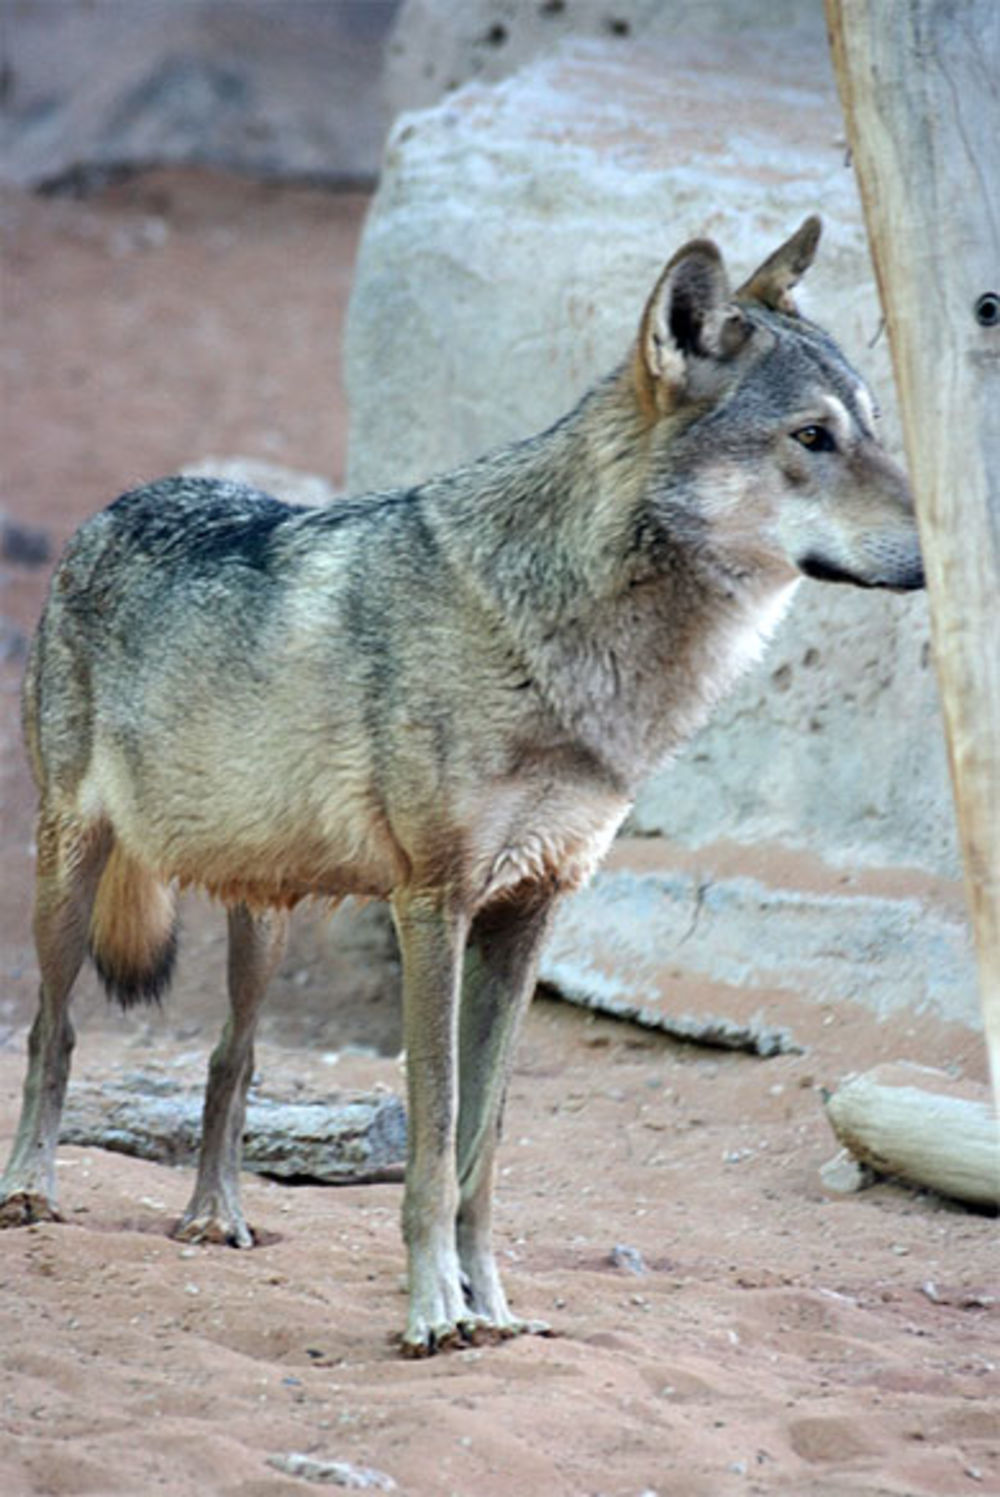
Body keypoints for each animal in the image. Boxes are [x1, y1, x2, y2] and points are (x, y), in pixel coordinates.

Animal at [0, 218, 922, 1359]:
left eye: (872, 429)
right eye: (810, 437)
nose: (941, 557)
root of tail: (116, 503)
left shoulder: (529, 913)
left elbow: (485, 1146)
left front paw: (492, 1305)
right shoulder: (433, 908)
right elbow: (436, 1142)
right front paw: (434, 1312)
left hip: (265, 917)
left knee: (230, 1058)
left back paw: (215, 1215)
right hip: (70, 872)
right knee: (54, 1030)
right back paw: (30, 1191)